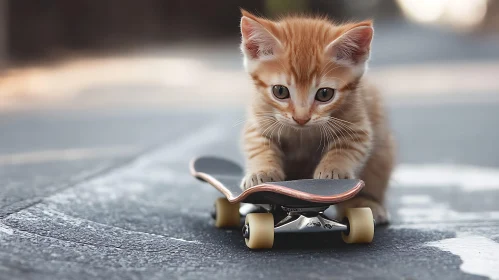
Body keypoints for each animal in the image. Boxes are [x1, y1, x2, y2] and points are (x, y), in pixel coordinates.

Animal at [239, 9, 398, 224]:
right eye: (280, 91)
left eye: (324, 94)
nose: (301, 118)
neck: (302, 133)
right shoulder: (257, 121)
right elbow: (259, 146)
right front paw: (261, 171)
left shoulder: (358, 126)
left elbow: (345, 149)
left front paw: (333, 171)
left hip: (382, 153)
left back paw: (366, 204)